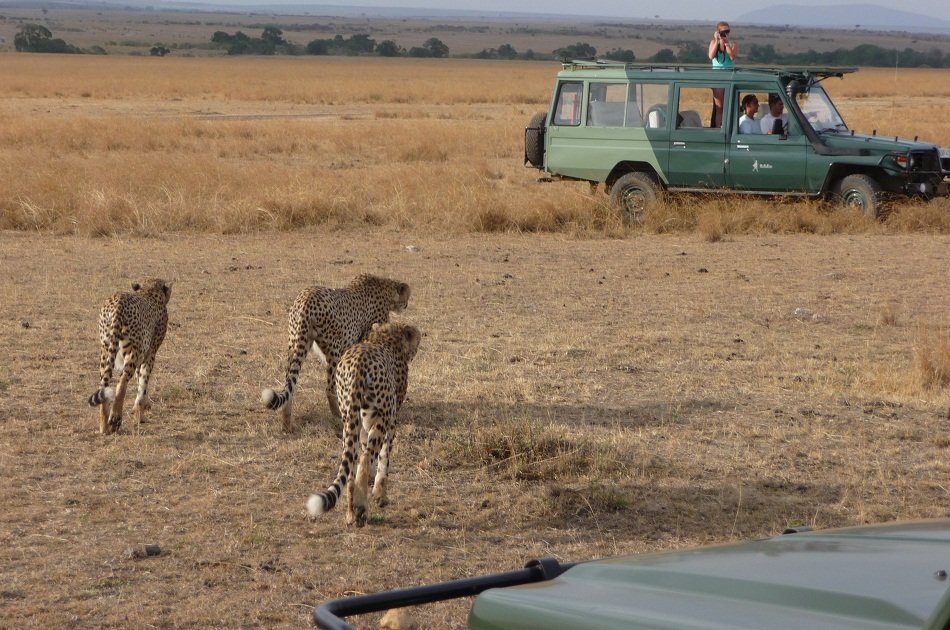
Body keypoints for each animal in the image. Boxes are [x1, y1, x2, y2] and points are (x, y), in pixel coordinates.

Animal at [87, 280, 171, 434]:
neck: (149, 291)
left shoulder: (142, 355)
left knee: (104, 384)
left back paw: (104, 426)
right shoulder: (149, 355)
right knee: (122, 382)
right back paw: (115, 418)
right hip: (131, 354)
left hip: (106, 351)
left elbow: (140, 382)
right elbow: (143, 384)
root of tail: (119, 301)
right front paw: (141, 416)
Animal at [262, 274, 410, 432]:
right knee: (329, 388)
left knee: (290, 386)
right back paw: (337, 415)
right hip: (333, 351)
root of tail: (306, 299)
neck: (384, 287)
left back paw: (286, 424)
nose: (406, 305)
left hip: (295, 346)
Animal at [306, 320, 422, 528]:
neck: (383, 338)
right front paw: (380, 496)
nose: (420, 338)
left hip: (349, 421)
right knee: (364, 460)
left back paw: (351, 514)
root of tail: (358, 363)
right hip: (378, 421)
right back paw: (361, 509)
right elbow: (384, 459)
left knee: (351, 466)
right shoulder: (390, 421)